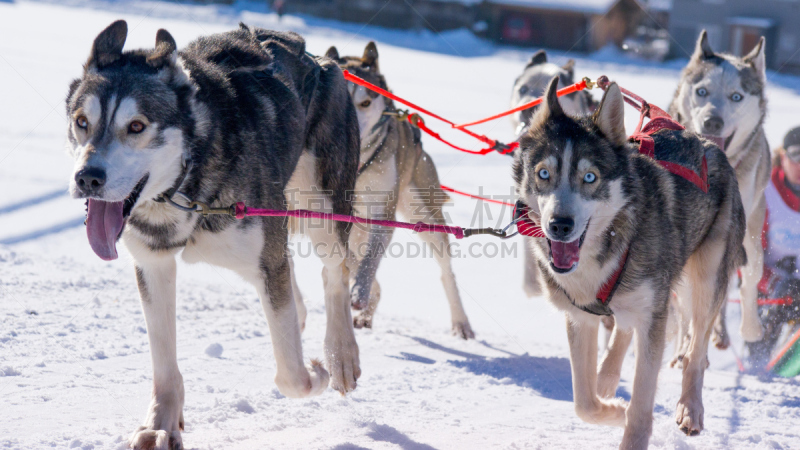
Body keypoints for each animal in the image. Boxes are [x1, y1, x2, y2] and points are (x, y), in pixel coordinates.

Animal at [65, 22, 360, 450]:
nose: (87, 178)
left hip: (322, 214)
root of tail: (318, 57)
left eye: (136, 126)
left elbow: (293, 376)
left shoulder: (266, 258)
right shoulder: (153, 262)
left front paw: (318, 371)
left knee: (334, 273)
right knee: (295, 287)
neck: (187, 183)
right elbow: (164, 363)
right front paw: (161, 421)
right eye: (81, 121)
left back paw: (341, 355)